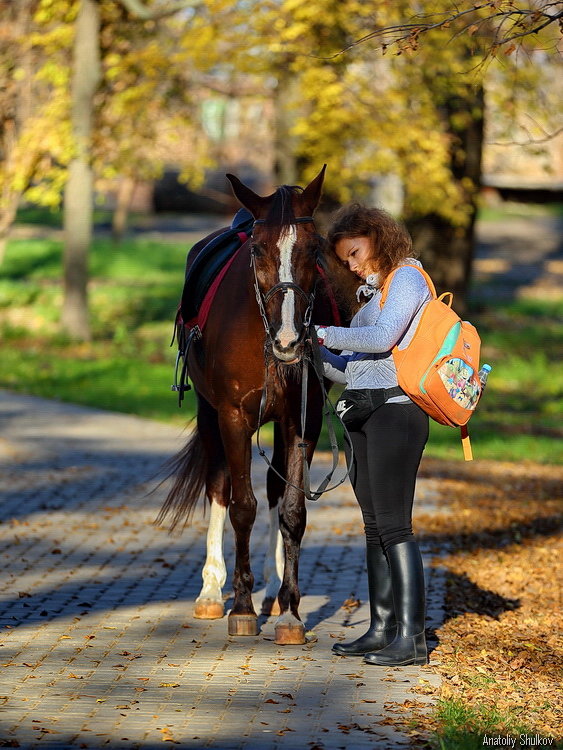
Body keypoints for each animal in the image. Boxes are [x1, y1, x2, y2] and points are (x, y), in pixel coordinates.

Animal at [160, 169, 344, 648]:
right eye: (258, 250)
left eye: (314, 249)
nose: (289, 341)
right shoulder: (232, 417)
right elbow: (241, 506)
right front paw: (241, 608)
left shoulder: (303, 421)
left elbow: (293, 510)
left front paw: (291, 612)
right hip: (210, 417)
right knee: (219, 485)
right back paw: (212, 591)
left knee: (276, 489)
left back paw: (275, 591)